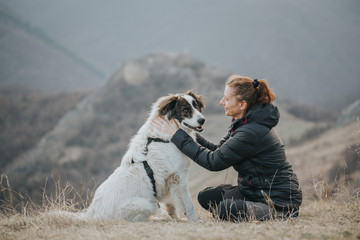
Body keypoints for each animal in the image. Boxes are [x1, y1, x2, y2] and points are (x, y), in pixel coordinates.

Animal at [84, 90, 207, 221]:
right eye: (185, 110)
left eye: (196, 106)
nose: (202, 120)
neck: (165, 138)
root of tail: (92, 214)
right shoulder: (178, 177)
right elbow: (188, 204)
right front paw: (194, 219)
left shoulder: (168, 181)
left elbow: (171, 205)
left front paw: (176, 219)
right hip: (147, 204)